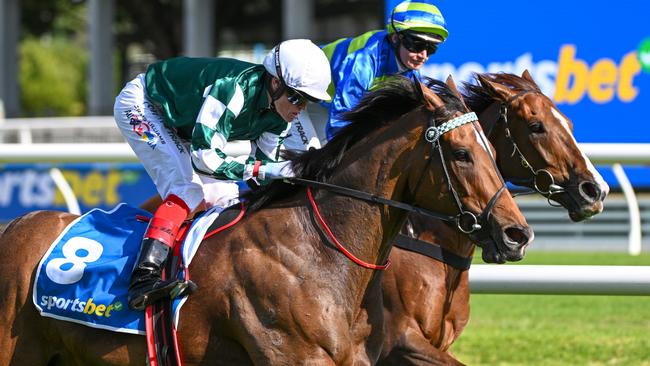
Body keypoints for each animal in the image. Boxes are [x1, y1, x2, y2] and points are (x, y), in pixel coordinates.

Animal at [0, 76, 532, 364]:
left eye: (492, 150)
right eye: (461, 154)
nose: (517, 234)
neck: (318, 250)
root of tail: (14, 227)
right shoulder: (295, 354)